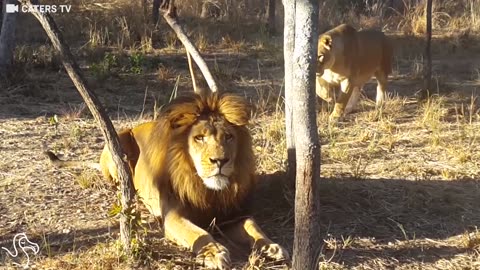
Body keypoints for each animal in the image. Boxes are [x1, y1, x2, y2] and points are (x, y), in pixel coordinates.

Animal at [47, 92, 288, 268]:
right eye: (199, 138)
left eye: (228, 137)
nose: (220, 160)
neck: (208, 190)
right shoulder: (173, 216)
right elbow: (200, 234)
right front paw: (215, 253)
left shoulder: (232, 215)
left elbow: (253, 226)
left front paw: (271, 246)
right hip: (119, 144)